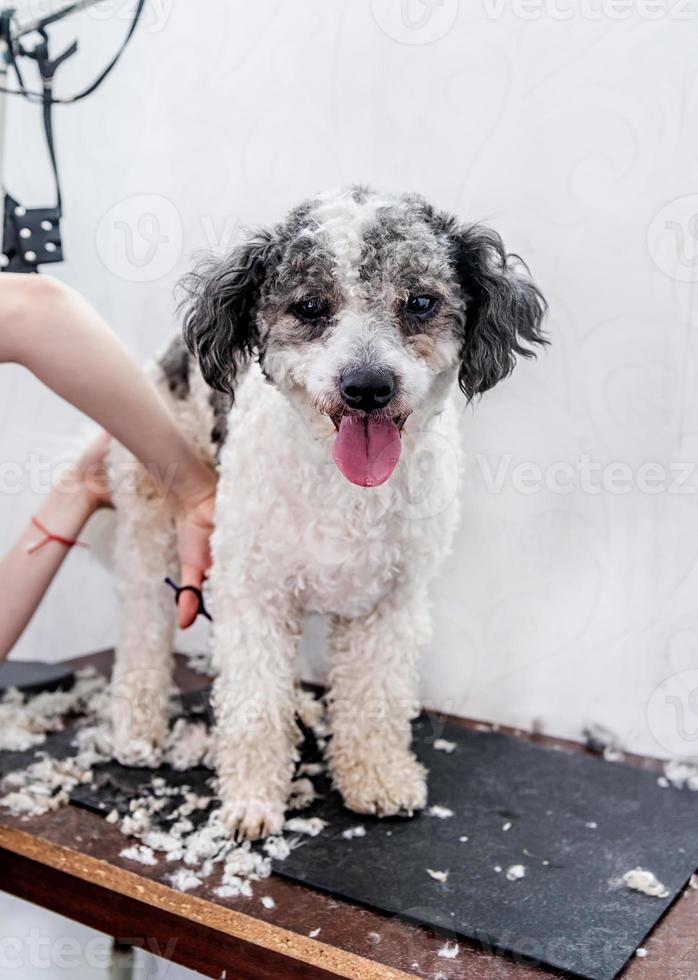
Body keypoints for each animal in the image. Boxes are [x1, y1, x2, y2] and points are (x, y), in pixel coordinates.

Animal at [106, 186, 548, 844]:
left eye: (421, 301)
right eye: (310, 306)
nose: (367, 386)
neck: (348, 492)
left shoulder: (390, 604)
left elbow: (374, 700)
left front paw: (377, 779)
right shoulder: (254, 594)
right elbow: (254, 707)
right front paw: (252, 802)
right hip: (149, 523)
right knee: (141, 631)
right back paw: (136, 730)